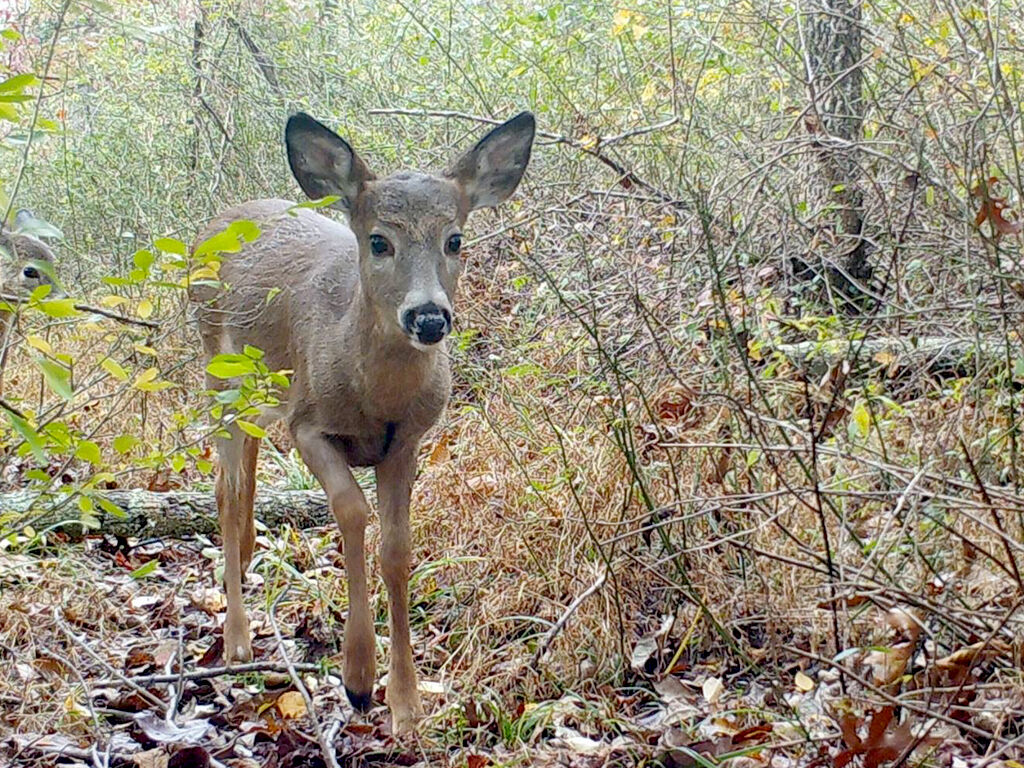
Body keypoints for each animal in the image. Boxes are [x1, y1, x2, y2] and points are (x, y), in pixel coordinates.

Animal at [190, 111, 535, 733]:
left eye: (455, 239)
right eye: (379, 240)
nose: (428, 316)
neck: (375, 398)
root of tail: (216, 222)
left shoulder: (408, 442)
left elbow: (397, 549)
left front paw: (406, 703)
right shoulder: (307, 424)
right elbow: (352, 512)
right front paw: (356, 679)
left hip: (255, 398)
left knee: (240, 478)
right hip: (217, 371)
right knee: (226, 489)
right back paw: (237, 640)